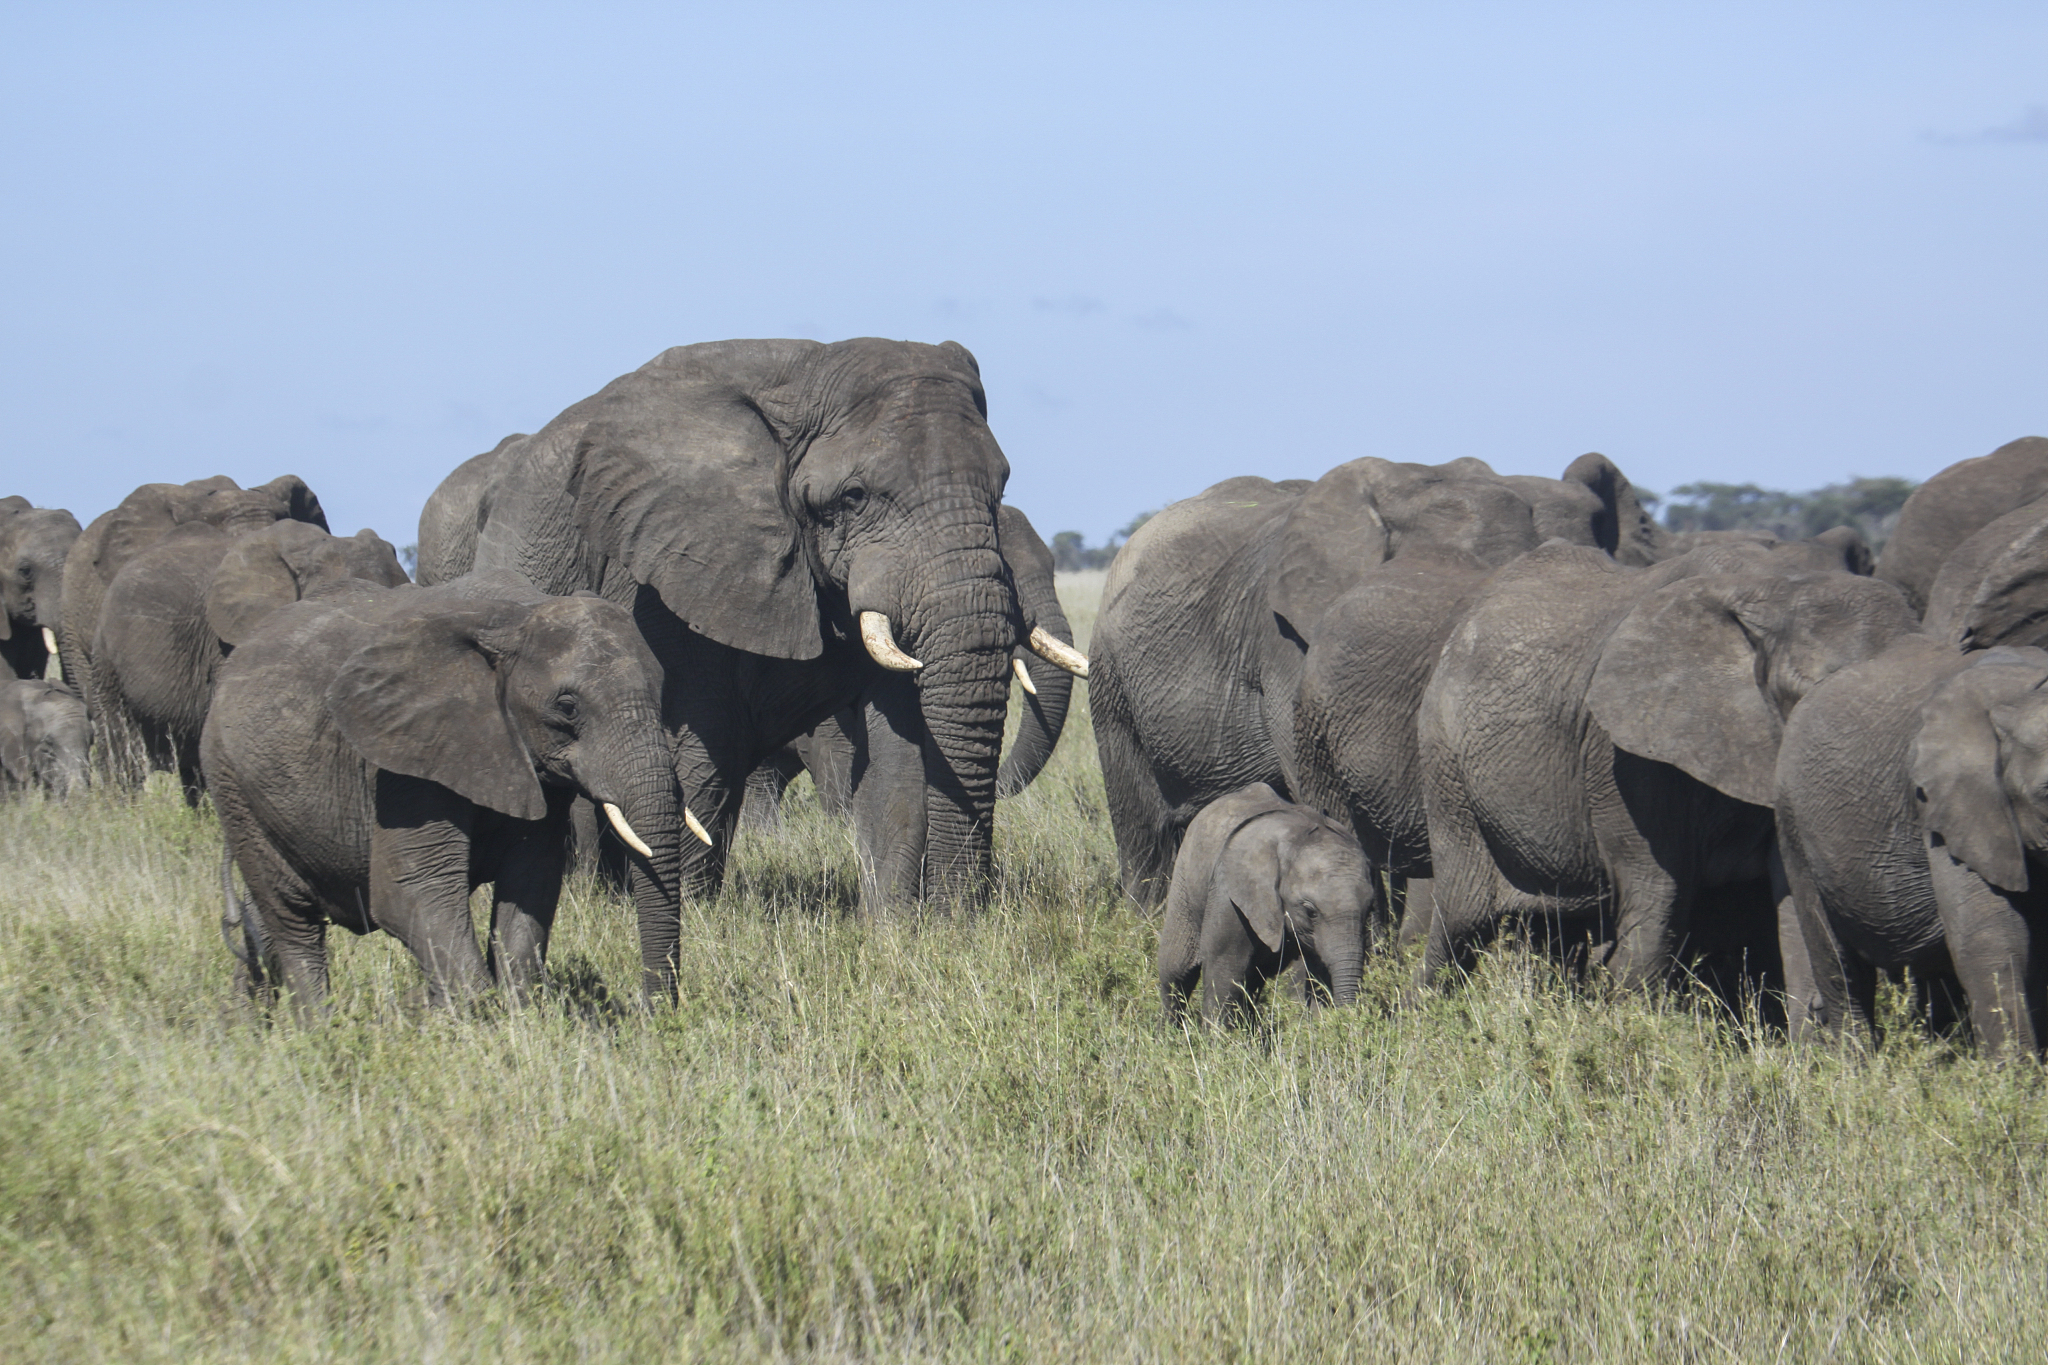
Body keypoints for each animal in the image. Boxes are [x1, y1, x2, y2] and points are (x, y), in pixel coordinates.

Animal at [203, 576, 690, 1019]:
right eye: (567, 707)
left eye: (663, 691)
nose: (649, 1015)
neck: (515, 616)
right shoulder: (403, 763)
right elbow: (413, 893)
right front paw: (475, 1024)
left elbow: (530, 885)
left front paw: (519, 1020)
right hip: (233, 787)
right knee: (292, 922)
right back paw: (320, 1032)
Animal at [470, 338, 1085, 938]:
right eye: (854, 496)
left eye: (999, 486)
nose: (963, 919)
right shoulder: (672, 572)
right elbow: (704, 748)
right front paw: (697, 918)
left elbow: (899, 755)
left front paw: (893, 937)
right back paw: (599, 893)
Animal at [1157, 782, 1377, 1026]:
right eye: (1310, 911)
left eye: (1370, 909)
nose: (1350, 1017)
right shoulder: (1229, 894)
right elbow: (1226, 972)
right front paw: (1218, 1037)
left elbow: (1318, 979)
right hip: (1185, 875)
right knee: (1176, 970)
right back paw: (1169, 1033)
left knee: (1251, 982)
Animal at [1415, 540, 1916, 995]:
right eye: (1803, 696)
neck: (1777, 589)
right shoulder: (1623, 757)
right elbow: (1657, 905)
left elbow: (1799, 915)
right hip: (1446, 762)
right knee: (1462, 917)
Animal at [1775, 498, 2048, 1055]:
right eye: (2047, 794)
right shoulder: (1947, 808)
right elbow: (1990, 939)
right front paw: (2018, 1079)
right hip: (1792, 817)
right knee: (1836, 959)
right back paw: (1854, 1068)